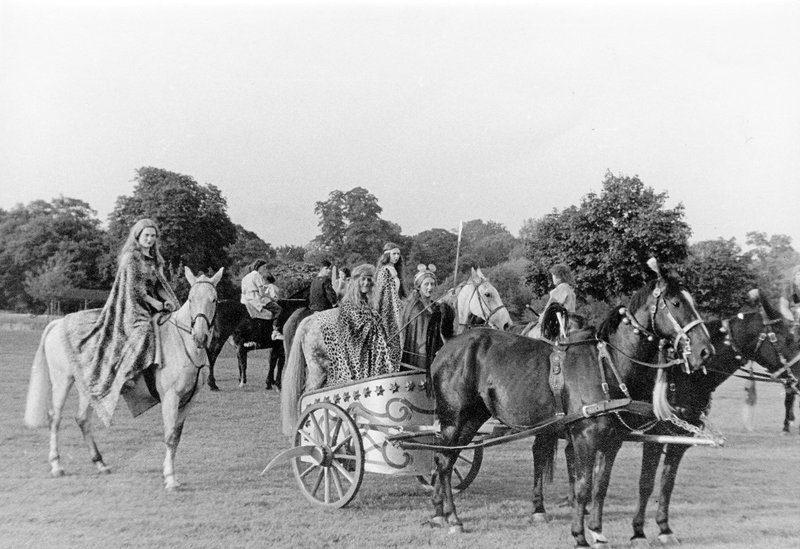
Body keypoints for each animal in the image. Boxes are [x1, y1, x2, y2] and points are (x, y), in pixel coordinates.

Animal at [24, 268, 223, 490]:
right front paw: (171, 478)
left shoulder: (189, 400)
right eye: (190, 298)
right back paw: (57, 466)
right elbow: (170, 436)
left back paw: (100, 464)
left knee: (82, 419)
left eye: (214, 299)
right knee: (55, 418)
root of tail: (59, 323)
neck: (181, 343)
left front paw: (170, 475)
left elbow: (176, 437)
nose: (200, 336)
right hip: (62, 381)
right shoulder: (171, 397)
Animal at [428, 264, 716, 544]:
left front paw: (597, 532)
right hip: (454, 419)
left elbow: (600, 486)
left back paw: (441, 513)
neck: (607, 364)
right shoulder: (585, 437)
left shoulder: (612, 441)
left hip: (472, 418)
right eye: (676, 303)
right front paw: (579, 535)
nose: (705, 350)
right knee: (443, 460)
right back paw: (451, 518)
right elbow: (583, 486)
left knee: (447, 459)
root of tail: (448, 346)